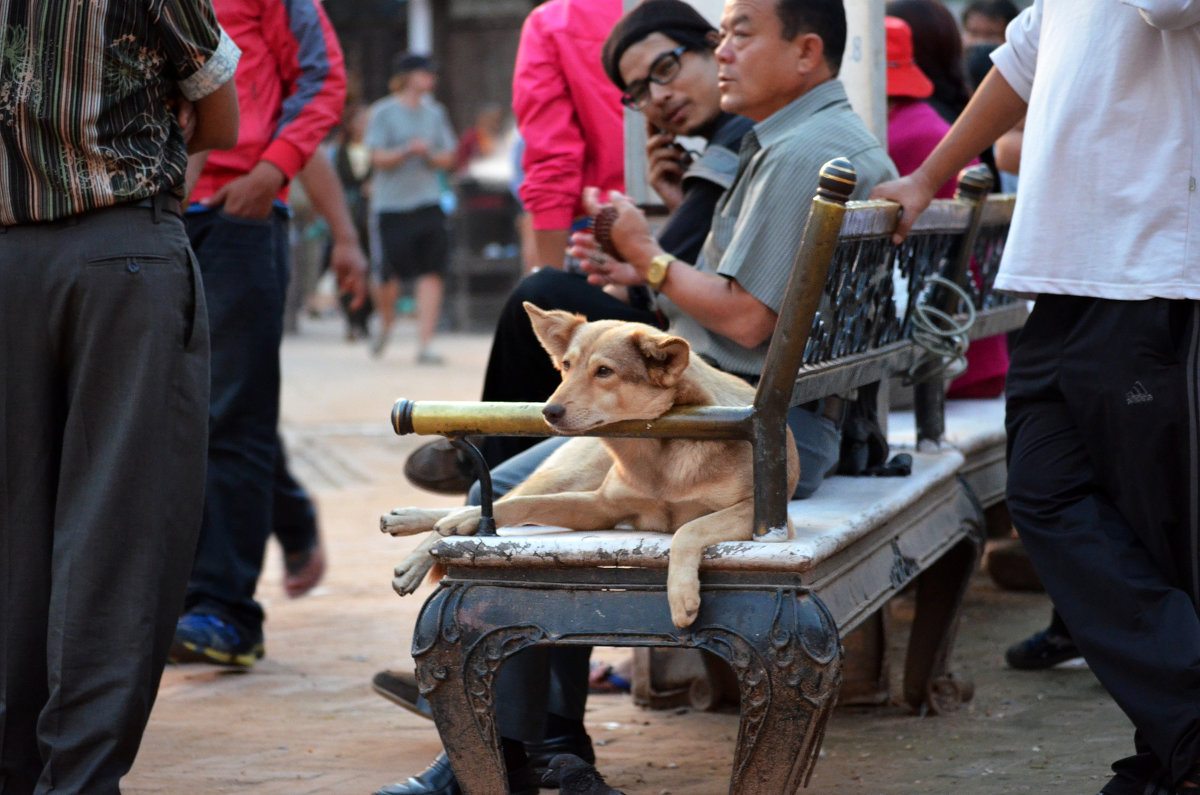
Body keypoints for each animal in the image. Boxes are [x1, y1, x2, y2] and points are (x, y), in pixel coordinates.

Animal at [381, 303, 796, 629]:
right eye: (567, 365)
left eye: (604, 371)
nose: (548, 412)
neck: (661, 453)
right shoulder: (601, 507)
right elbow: (517, 505)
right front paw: (462, 523)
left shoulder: (763, 515)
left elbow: (689, 529)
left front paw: (681, 597)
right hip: (566, 475)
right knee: (502, 498)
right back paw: (421, 534)